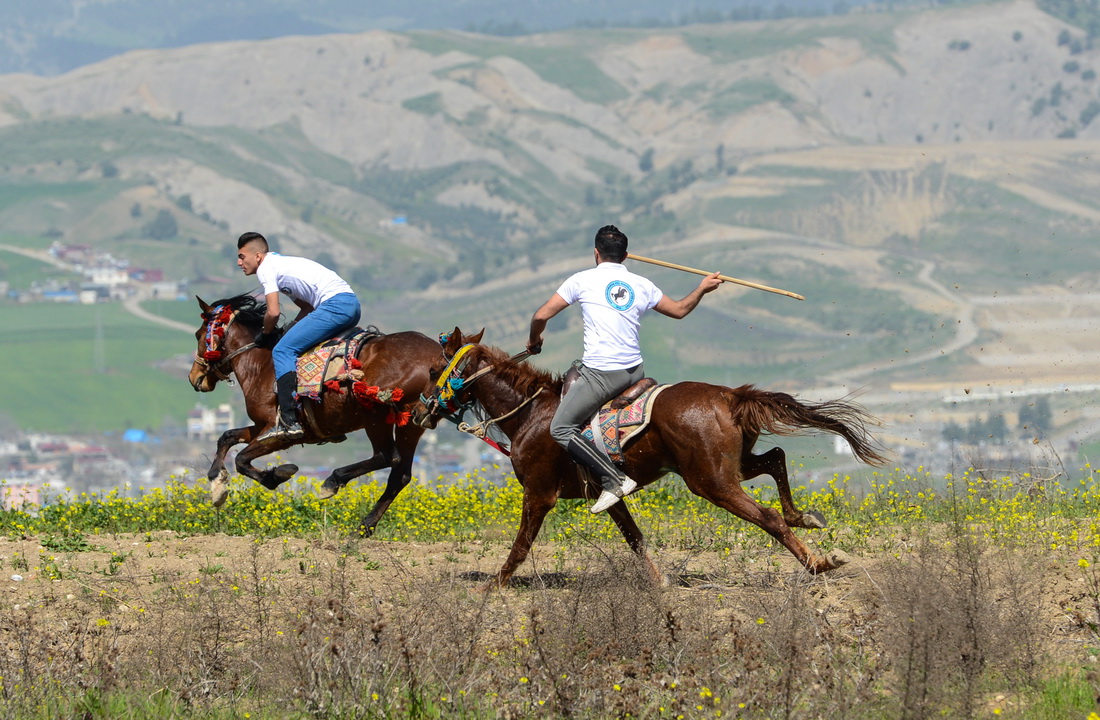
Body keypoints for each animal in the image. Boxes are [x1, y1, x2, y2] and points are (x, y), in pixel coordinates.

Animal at [187, 294, 441, 536]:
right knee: (400, 473)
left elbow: (241, 459)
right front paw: (217, 485)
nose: (194, 377)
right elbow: (227, 437)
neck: (261, 366)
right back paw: (364, 526)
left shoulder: (281, 432)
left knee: (388, 456)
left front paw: (277, 475)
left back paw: (334, 481)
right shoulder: (263, 427)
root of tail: (438, 355)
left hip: (374, 413)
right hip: (412, 422)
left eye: (198, 334)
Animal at [413, 327, 889, 588]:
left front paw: (492, 587)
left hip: (711, 481)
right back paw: (803, 517)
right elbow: (636, 539)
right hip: (725, 467)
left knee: (768, 516)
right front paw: (659, 583)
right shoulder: (608, 496)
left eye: (436, 370)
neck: (530, 414)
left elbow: (519, 547)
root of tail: (730, 396)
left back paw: (817, 562)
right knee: (775, 457)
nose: (419, 411)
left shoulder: (539, 493)